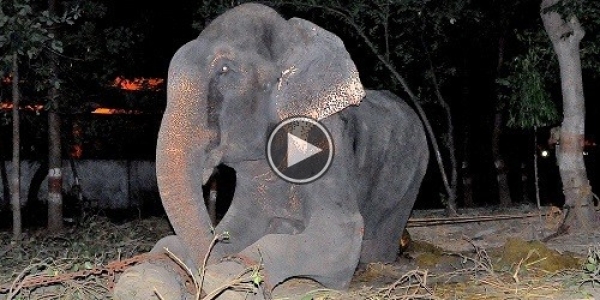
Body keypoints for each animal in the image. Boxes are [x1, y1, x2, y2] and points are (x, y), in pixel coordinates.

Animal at [113, 2, 432, 300]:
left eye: (225, 70)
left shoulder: (327, 140)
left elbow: (340, 233)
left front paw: (229, 282)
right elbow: (238, 224)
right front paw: (143, 280)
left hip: (412, 177)